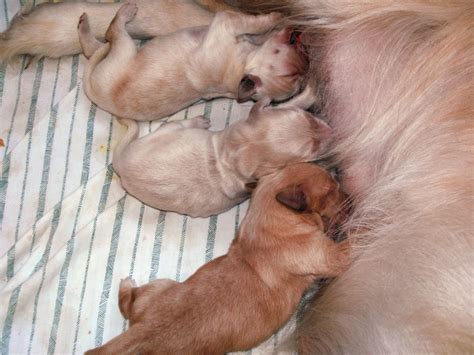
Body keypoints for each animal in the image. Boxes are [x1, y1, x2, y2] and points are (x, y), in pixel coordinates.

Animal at [113, 98, 332, 218]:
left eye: (310, 119)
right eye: (312, 150)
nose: (331, 130)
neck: (233, 151)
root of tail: (120, 162)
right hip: (170, 129)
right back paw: (198, 121)